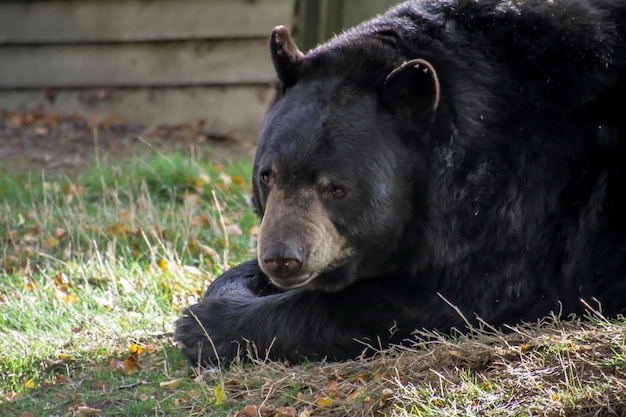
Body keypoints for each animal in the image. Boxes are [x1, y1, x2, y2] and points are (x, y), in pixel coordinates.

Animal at [173, 0, 624, 364]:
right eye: (268, 176)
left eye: (337, 188)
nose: (282, 258)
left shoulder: (526, 204)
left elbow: (447, 298)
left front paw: (204, 327)